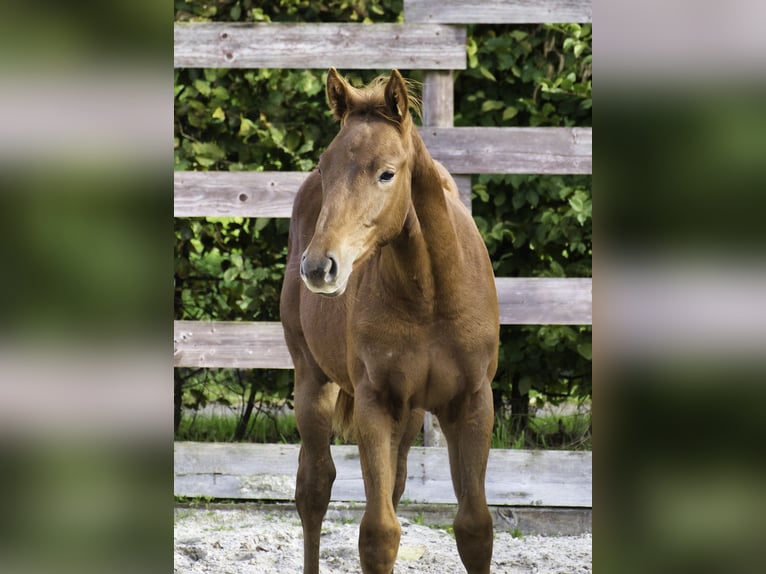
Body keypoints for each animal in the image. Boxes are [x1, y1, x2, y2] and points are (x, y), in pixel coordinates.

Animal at [280, 68, 500, 574]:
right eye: (324, 167)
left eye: (386, 172)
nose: (319, 267)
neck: (431, 296)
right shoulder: (374, 401)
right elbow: (378, 533)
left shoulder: (473, 402)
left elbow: (475, 528)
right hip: (312, 380)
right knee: (314, 488)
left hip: (412, 410)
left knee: (394, 484)